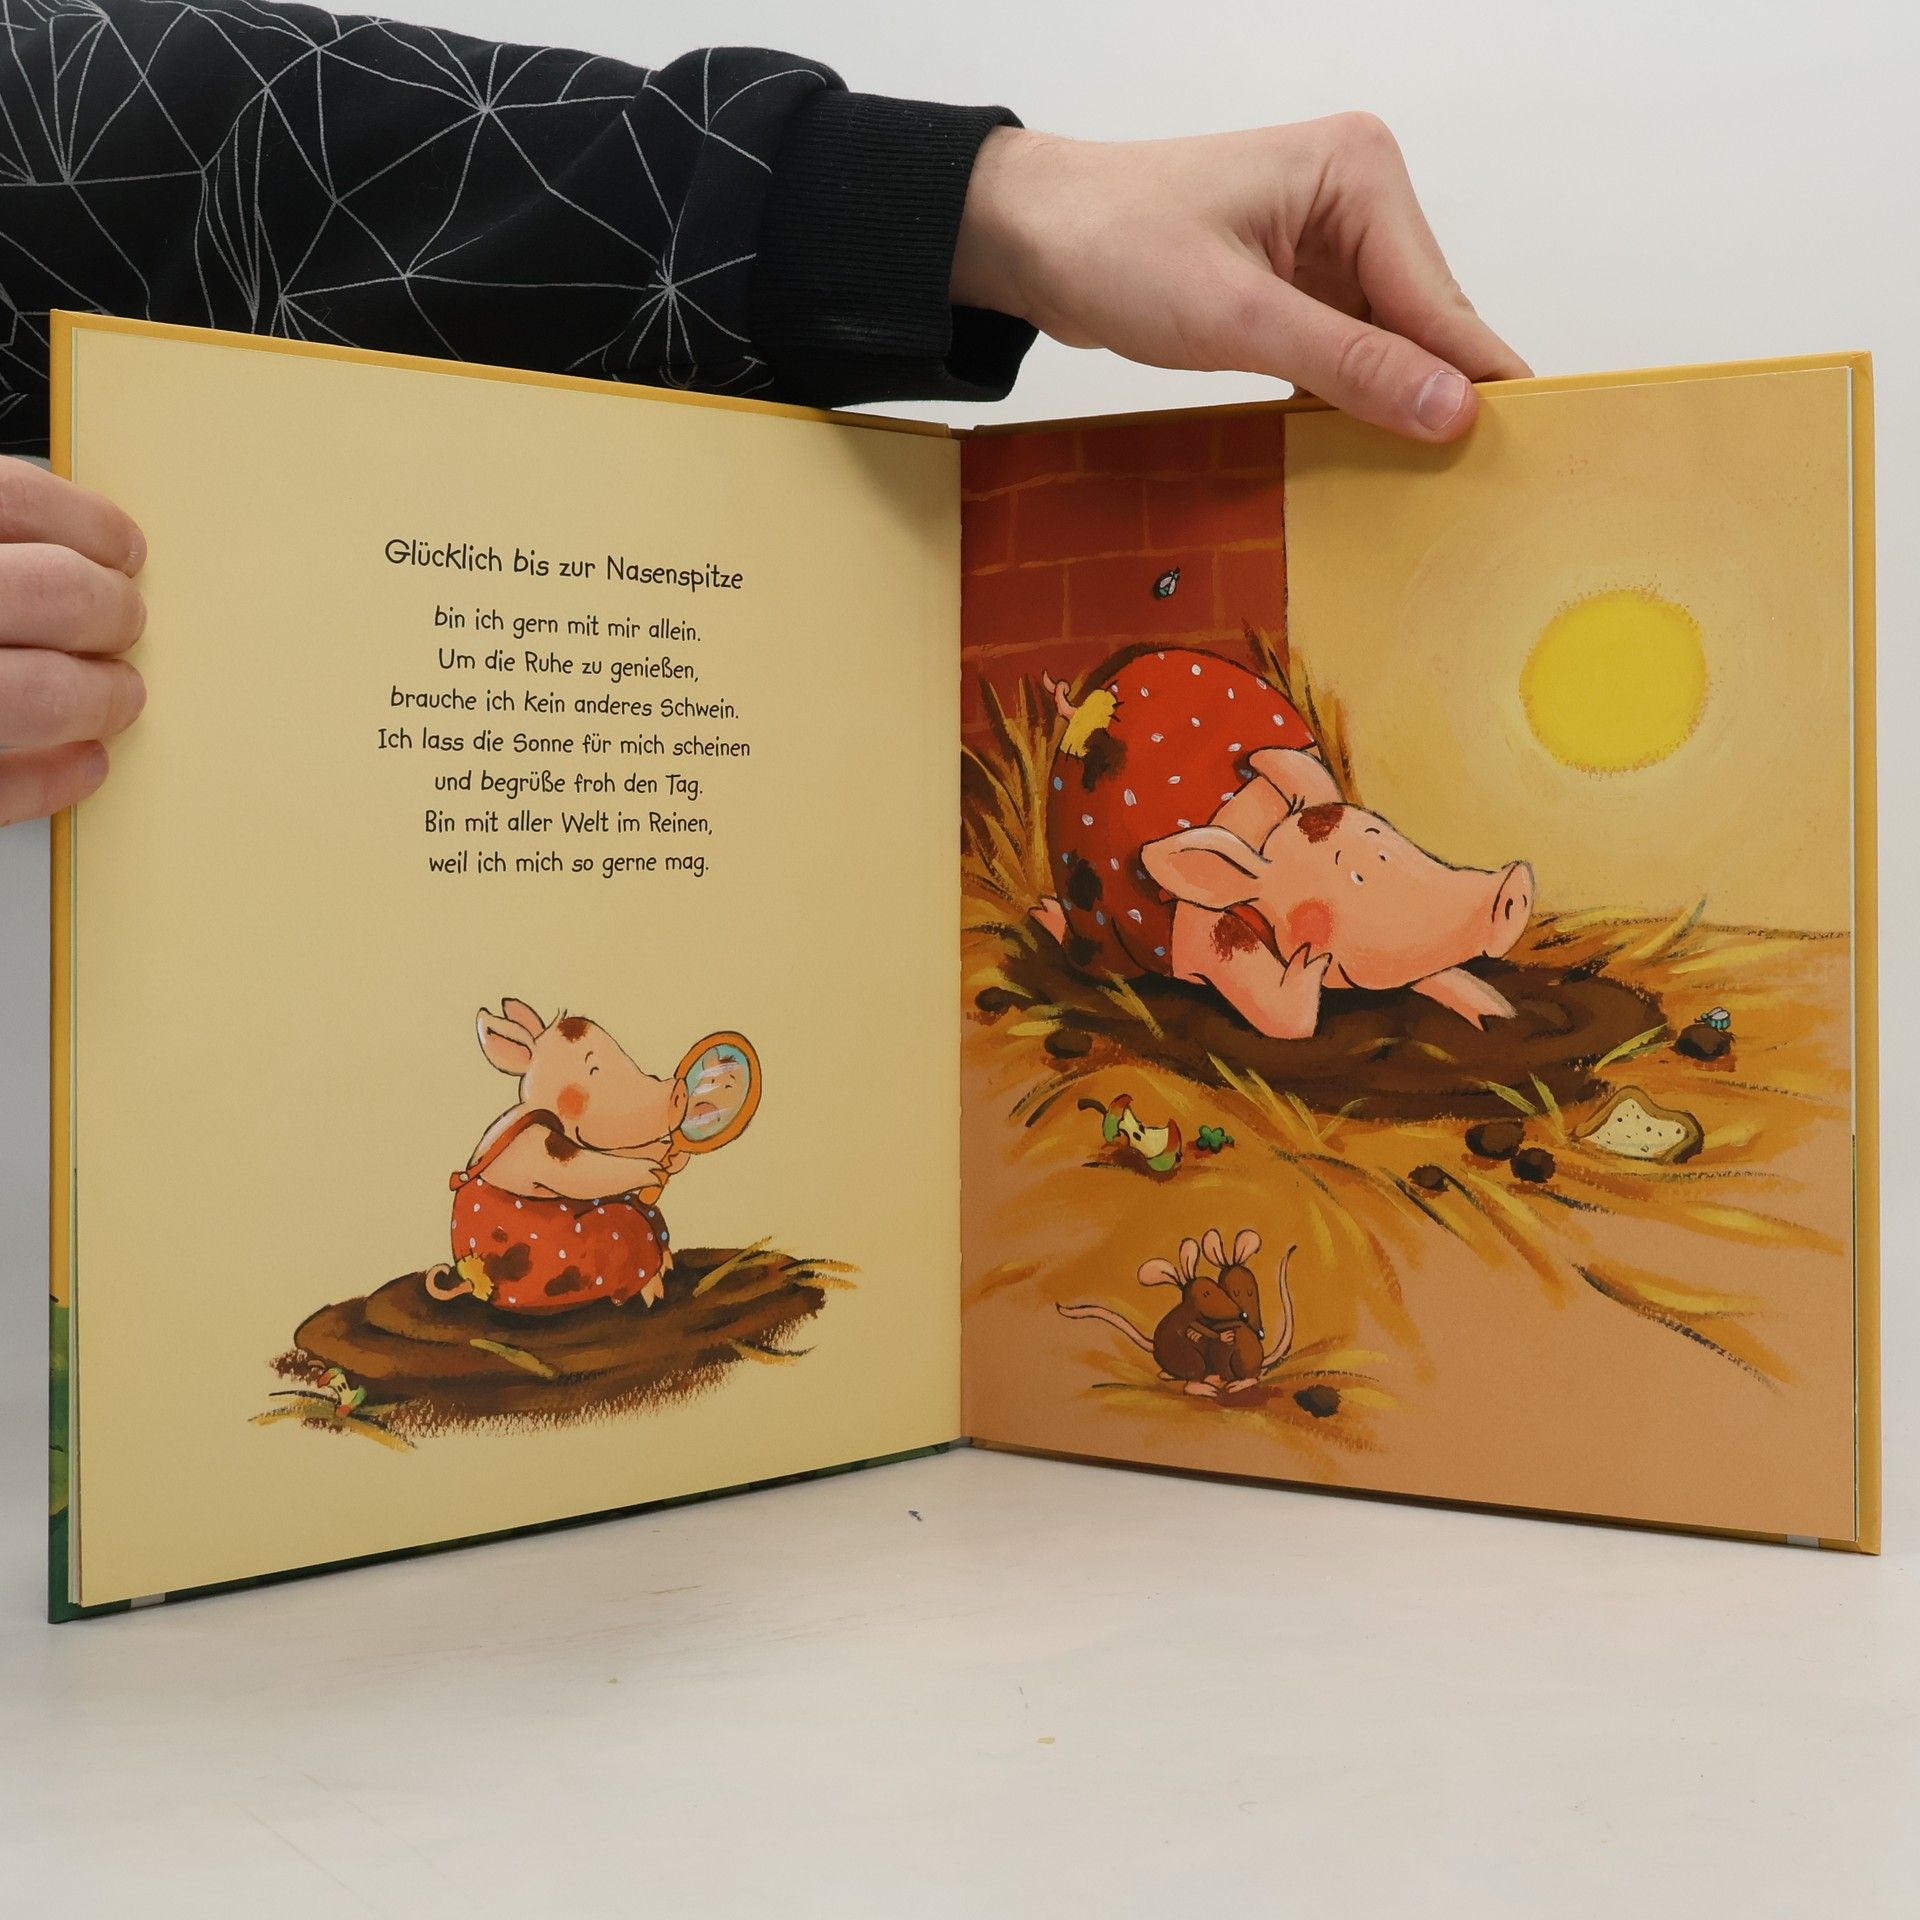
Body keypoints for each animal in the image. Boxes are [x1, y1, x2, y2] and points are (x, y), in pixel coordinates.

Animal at [425, 998, 691, 1316]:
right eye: (594, 1069)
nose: (678, 1088)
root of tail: (471, 1284)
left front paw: (671, 1158)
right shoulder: (538, 1150)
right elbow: (581, 1171)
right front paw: (651, 1172)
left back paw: (667, 1267)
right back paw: (653, 1295)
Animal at [1030, 647, 1535, 1041]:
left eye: (1388, 837)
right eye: (1356, 876)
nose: (1515, 883)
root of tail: (1084, 704)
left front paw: (1497, 1010)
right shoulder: (1208, 941)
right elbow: (1286, 1022)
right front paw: (1311, 960)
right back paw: (1041, 912)